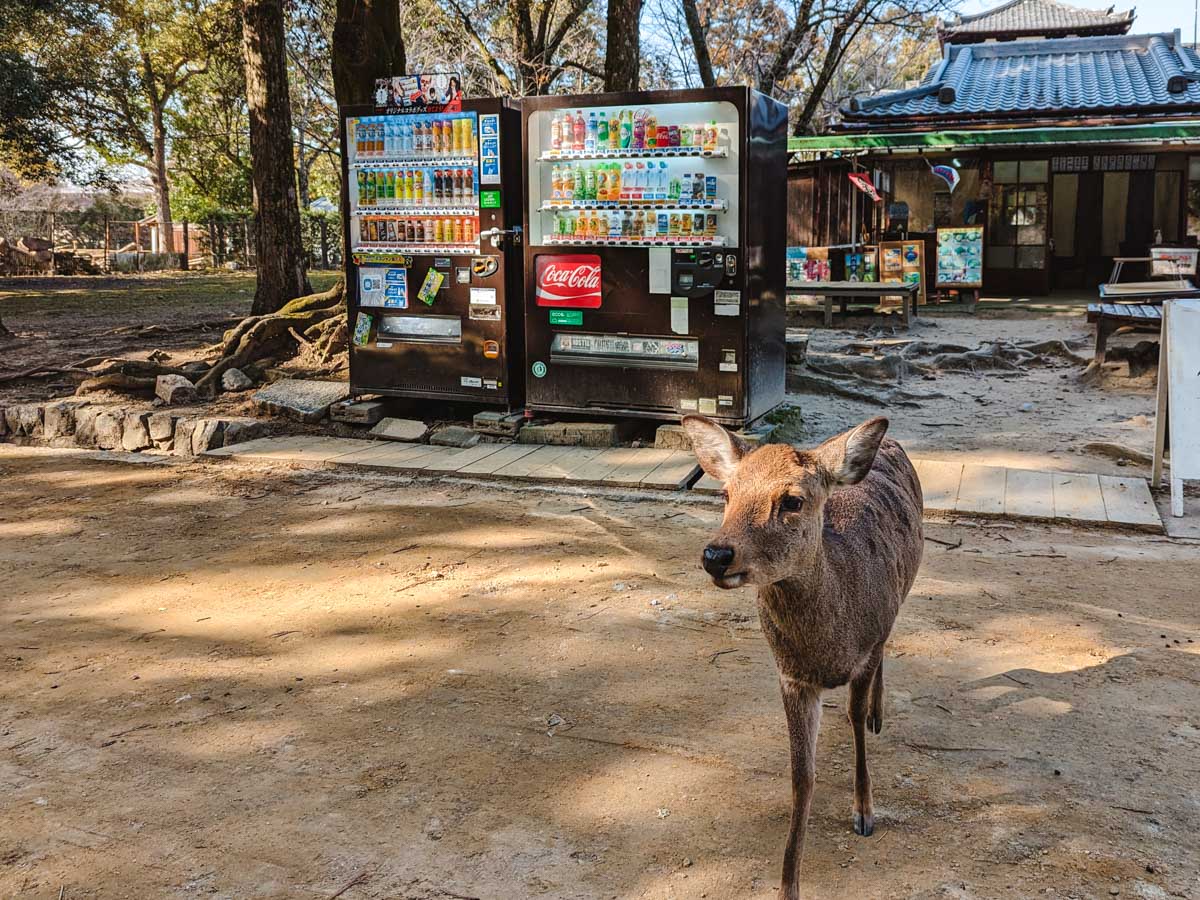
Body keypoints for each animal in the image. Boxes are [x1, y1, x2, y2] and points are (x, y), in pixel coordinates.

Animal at [681, 415, 921, 900]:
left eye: (793, 500)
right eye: (727, 494)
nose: (716, 555)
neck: (828, 648)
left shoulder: (865, 650)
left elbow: (854, 718)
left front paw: (864, 813)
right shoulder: (790, 676)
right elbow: (801, 775)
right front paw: (787, 884)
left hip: (897, 600)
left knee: (888, 646)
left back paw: (879, 713)